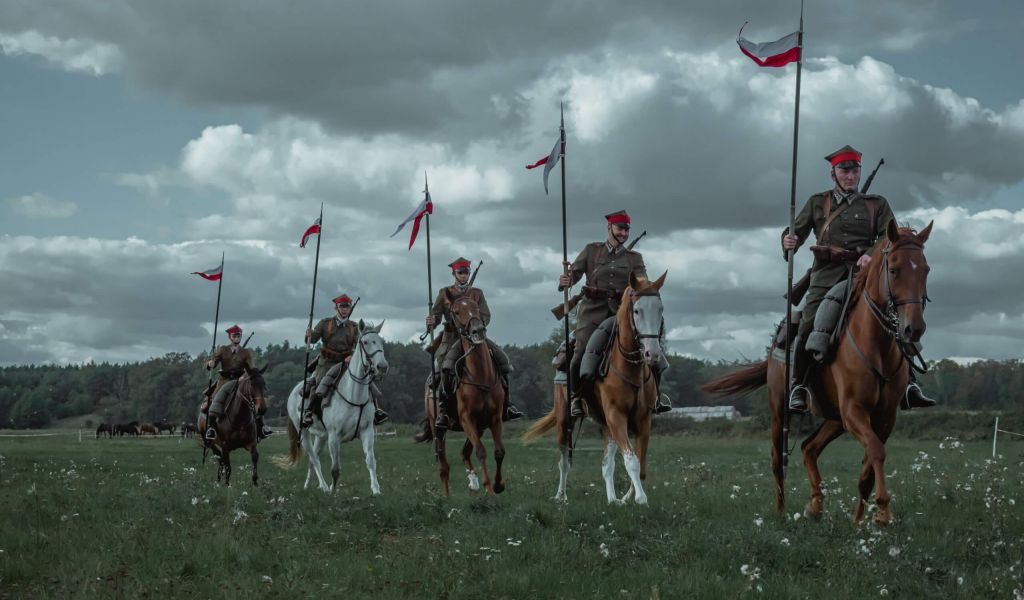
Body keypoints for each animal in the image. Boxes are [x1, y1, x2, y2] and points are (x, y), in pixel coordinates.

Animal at [282, 319, 389, 493]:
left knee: (313, 459)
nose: (382, 367)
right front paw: (333, 492)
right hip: (304, 432)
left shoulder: (367, 432)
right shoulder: (334, 436)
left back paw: (309, 485)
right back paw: (325, 487)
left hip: (321, 436)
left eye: (380, 342)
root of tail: (294, 391)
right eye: (365, 342)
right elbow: (335, 468)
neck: (353, 394)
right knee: (314, 458)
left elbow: (371, 461)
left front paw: (376, 490)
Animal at [421, 290, 505, 495]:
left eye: (477, 308)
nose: (478, 331)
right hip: (438, 428)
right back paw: (446, 496)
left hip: (479, 427)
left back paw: (473, 482)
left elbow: (499, 452)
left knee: (464, 453)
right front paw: (489, 489)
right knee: (443, 465)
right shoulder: (467, 418)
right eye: (456, 312)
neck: (481, 375)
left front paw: (498, 485)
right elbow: (481, 451)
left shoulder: (494, 418)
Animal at [524, 272, 667, 503]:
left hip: (606, 426)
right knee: (564, 460)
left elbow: (640, 464)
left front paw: (627, 497)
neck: (629, 367)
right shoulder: (616, 416)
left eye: (660, 309)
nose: (652, 354)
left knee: (606, 465)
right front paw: (640, 498)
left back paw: (613, 499)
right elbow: (632, 461)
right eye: (637, 310)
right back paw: (561, 496)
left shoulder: (643, 420)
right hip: (565, 420)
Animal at [704, 221, 937, 524]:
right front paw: (883, 511)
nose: (914, 329)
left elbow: (868, 466)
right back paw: (781, 511)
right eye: (895, 269)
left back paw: (815, 505)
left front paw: (860, 519)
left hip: (834, 418)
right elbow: (876, 451)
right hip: (781, 411)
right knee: (777, 459)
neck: (876, 345)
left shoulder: (884, 416)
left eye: (925, 269)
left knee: (809, 447)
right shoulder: (853, 410)